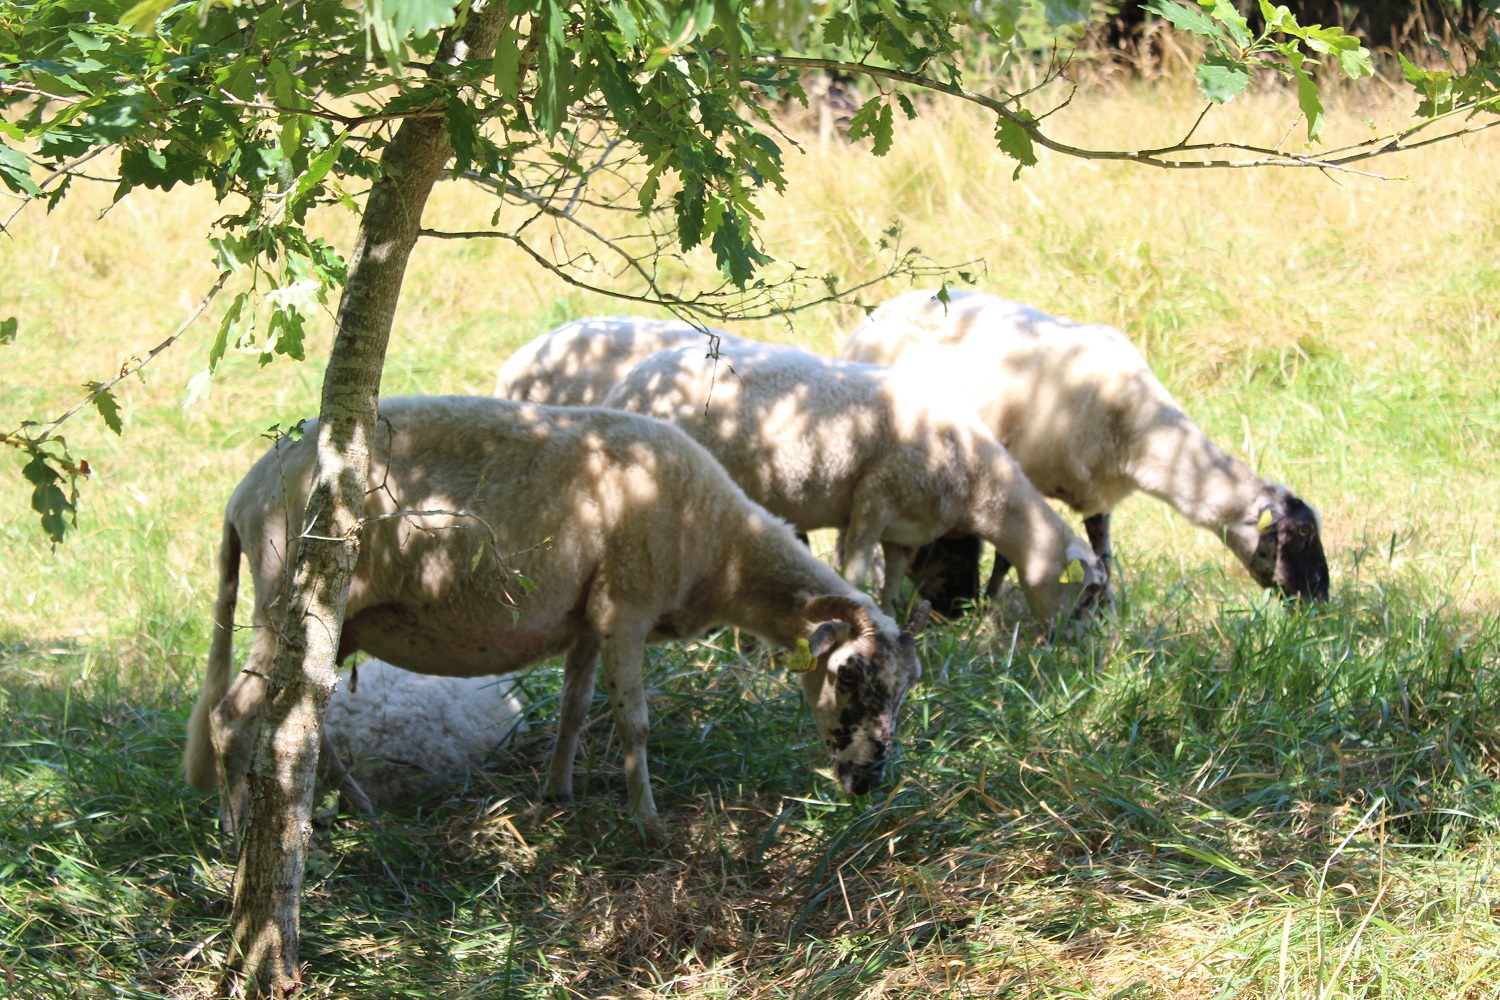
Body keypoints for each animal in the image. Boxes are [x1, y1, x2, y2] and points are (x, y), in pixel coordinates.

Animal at [183, 396, 930, 842]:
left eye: (906, 688)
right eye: (851, 676)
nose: (870, 781)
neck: (721, 547)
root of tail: (242, 495)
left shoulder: (587, 620)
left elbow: (574, 707)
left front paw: (559, 792)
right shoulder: (626, 610)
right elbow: (634, 723)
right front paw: (649, 824)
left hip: (329, 621)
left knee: (303, 716)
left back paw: (359, 807)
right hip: (283, 601)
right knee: (230, 715)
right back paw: (232, 831)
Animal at [600, 341, 1106, 625]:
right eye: (1086, 596)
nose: (1071, 646)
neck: (978, 477)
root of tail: (623, 389)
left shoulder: (905, 527)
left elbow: (895, 575)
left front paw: (893, 611)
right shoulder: (873, 499)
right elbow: (856, 569)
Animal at [842, 290, 1330, 608]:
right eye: (1302, 535)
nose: (1320, 599)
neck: (1141, 428)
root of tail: (876, 312)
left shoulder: (1101, 499)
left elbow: (1105, 558)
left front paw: (1108, 611)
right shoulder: (1023, 478)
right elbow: (1005, 557)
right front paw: (992, 604)